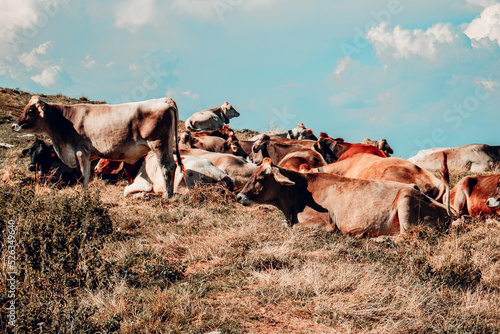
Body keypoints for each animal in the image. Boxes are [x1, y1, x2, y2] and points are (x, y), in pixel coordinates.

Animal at [11, 95, 183, 197]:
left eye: (30, 110)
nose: (14, 125)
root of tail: (165, 99)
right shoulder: (88, 156)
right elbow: (87, 174)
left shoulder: (81, 151)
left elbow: (84, 175)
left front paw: (83, 195)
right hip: (166, 144)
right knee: (172, 166)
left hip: (158, 143)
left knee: (167, 167)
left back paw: (167, 195)